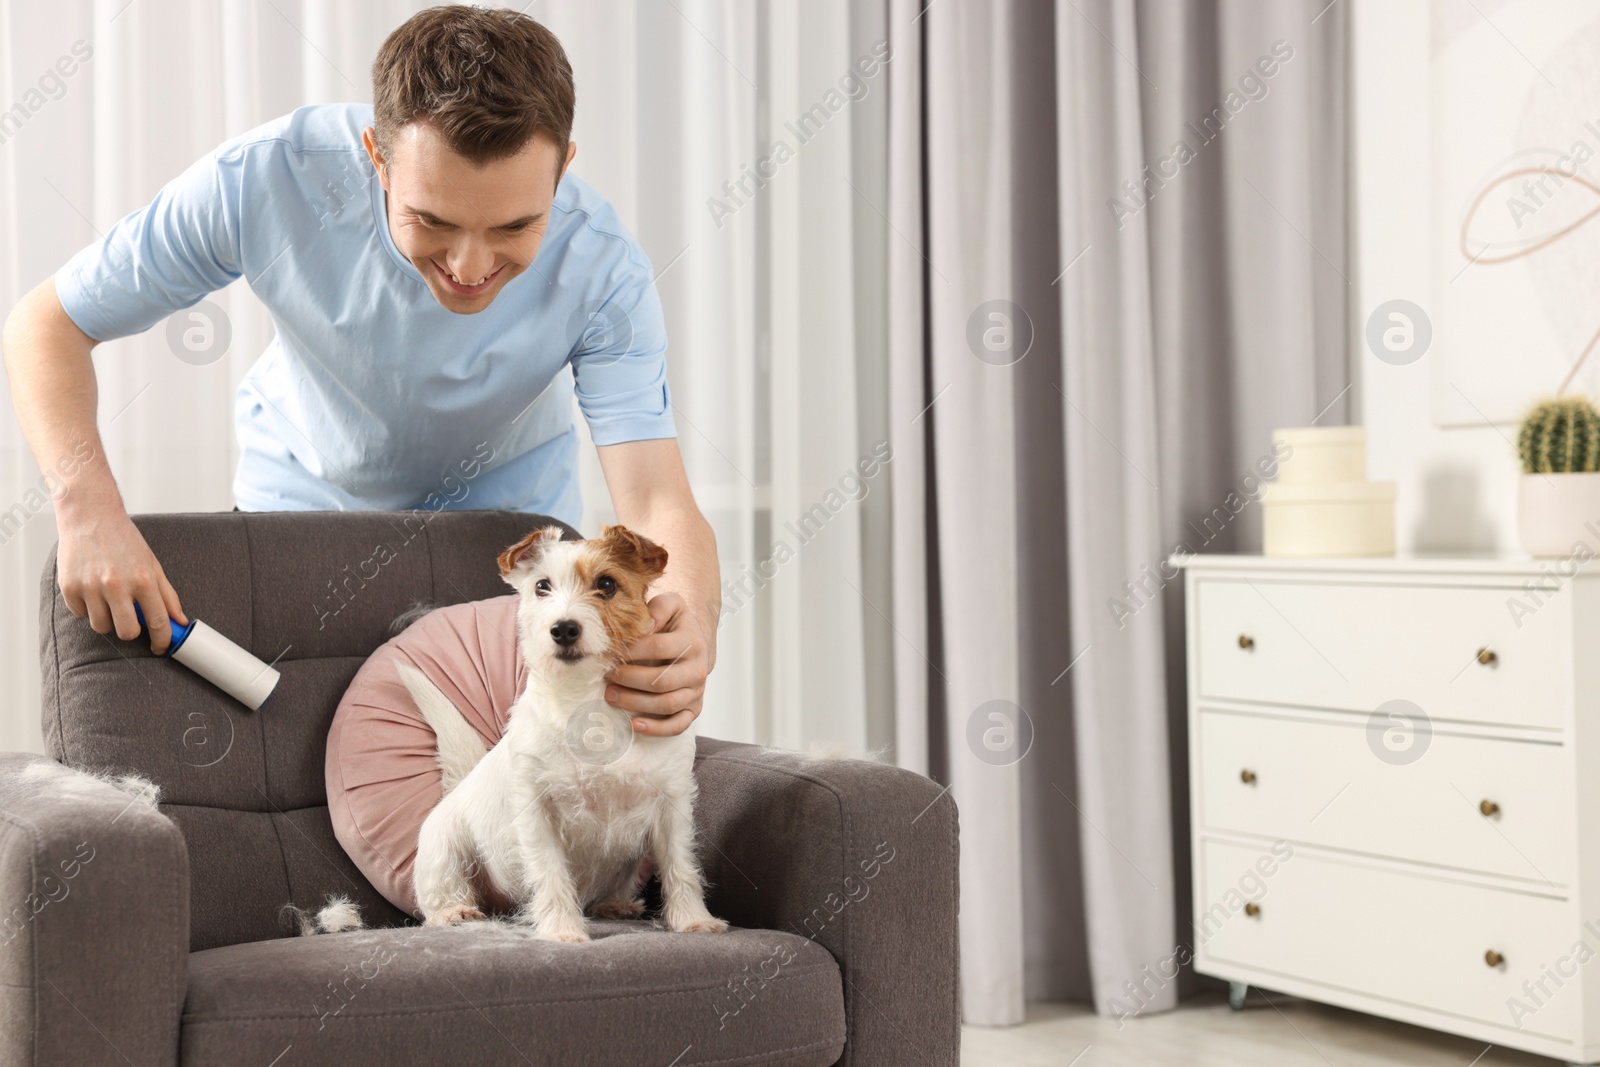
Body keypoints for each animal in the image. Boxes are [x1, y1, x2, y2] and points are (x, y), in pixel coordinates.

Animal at [403, 524, 729, 940]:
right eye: (542, 586)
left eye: (606, 584)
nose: (563, 629)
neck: (586, 702)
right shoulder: (536, 810)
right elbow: (551, 873)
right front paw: (561, 930)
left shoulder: (672, 805)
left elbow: (680, 866)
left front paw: (692, 919)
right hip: (444, 852)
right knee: (439, 894)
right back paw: (455, 912)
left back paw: (615, 904)